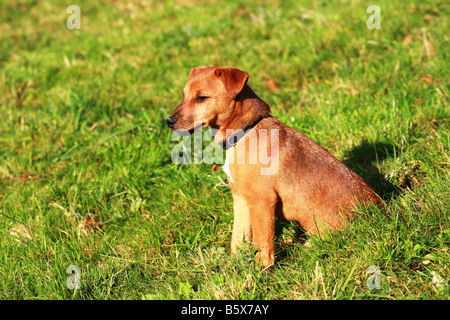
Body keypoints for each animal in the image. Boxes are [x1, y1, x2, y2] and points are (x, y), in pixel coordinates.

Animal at [167, 65, 382, 268]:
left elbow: (263, 244)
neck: (244, 132)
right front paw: (235, 269)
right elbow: (237, 239)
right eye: (183, 95)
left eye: (201, 98)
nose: (168, 121)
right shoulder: (241, 200)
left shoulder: (263, 201)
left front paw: (261, 273)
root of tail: (382, 212)